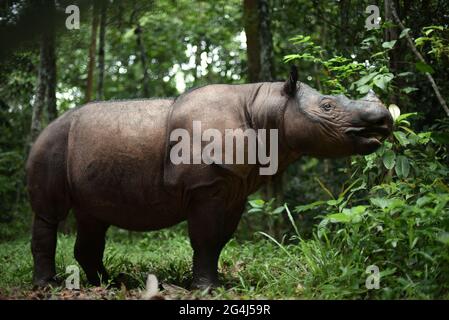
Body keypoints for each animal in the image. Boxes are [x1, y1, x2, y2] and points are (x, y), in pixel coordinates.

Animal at [28, 67, 390, 290]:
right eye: (327, 107)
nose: (384, 120)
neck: (266, 106)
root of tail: (45, 128)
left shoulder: (235, 187)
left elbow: (217, 241)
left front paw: (212, 283)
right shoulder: (206, 187)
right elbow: (204, 237)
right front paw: (206, 290)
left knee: (94, 217)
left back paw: (110, 283)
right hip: (50, 144)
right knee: (50, 214)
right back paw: (49, 285)